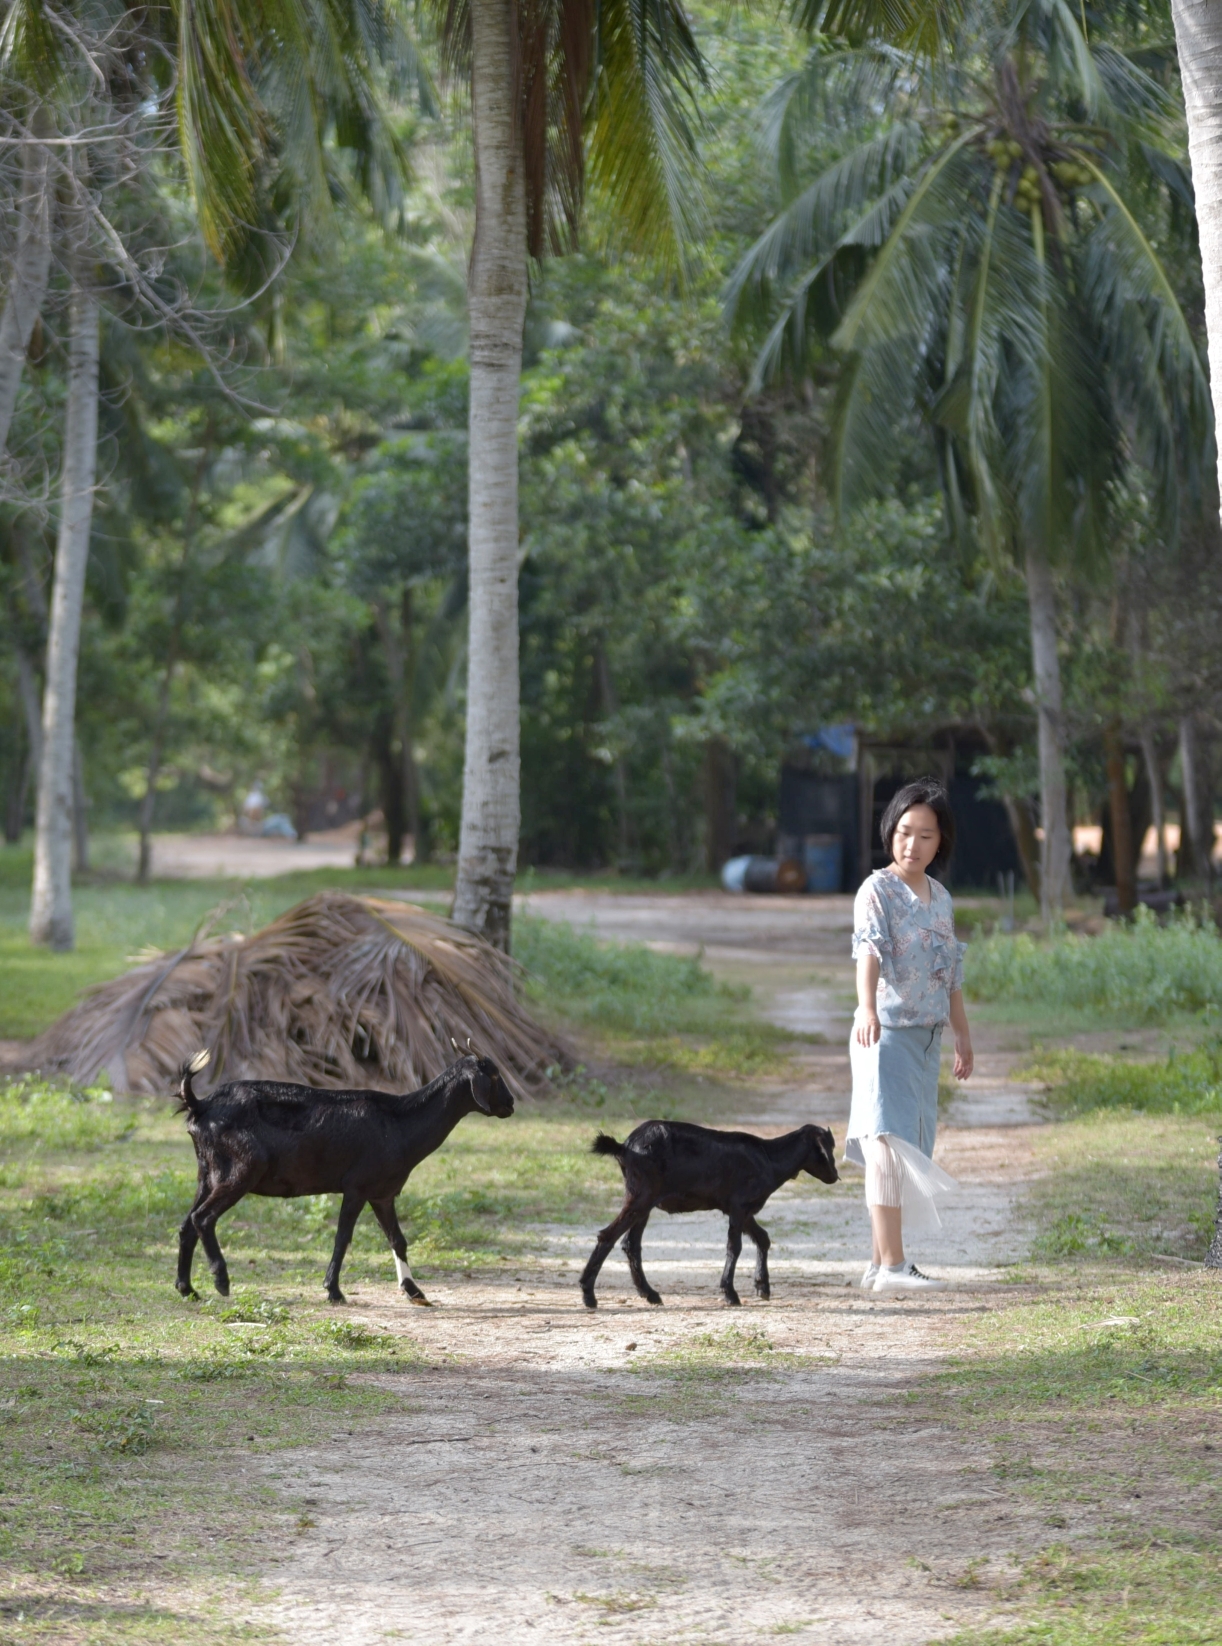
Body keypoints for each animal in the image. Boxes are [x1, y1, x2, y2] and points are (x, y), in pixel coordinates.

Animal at [174, 1053, 513, 1310]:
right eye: (495, 1076)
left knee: (187, 1224)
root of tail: (200, 1104)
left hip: (207, 1172)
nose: (510, 1105)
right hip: (242, 1169)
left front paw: (414, 1291)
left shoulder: (382, 1193)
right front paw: (334, 1291)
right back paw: (221, 1280)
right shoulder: (357, 1187)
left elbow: (398, 1239)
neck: (399, 1122)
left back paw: (187, 1289)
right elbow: (342, 1238)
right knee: (204, 1217)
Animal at [586, 1119, 843, 1310]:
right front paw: (730, 1293)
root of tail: (624, 1146)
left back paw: (649, 1294)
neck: (769, 1158)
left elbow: (763, 1238)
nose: (834, 1176)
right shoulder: (739, 1206)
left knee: (631, 1243)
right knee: (608, 1236)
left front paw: (762, 1287)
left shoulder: (742, 1209)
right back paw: (589, 1295)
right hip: (642, 1194)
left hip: (645, 1200)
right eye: (827, 1148)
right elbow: (734, 1247)